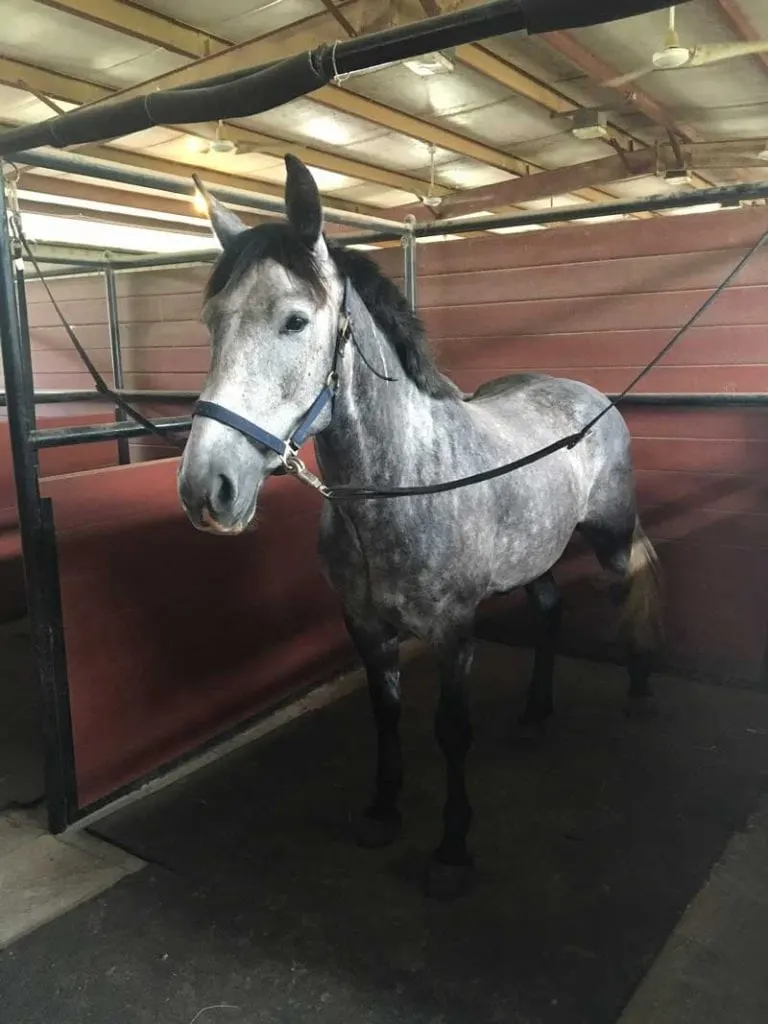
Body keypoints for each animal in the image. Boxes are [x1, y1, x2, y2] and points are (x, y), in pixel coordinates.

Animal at [176, 155, 663, 901]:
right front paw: (382, 813)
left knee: (625, 589)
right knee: (550, 609)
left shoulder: (454, 630)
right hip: (537, 554)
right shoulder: (365, 626)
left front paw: (452, 851)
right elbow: (385, 714)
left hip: (609, 538)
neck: (399, 486)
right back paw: (534, 716)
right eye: (210, 321)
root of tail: (589, 397)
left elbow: (451, 730)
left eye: (295, 321)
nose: (208, 488)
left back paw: (637, 693)